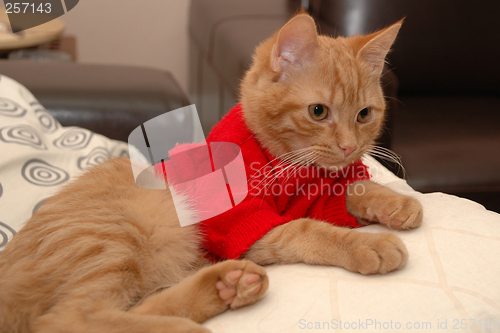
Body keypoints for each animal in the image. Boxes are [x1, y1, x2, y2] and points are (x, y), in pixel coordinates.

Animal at [0, 13, 422, 332]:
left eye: (364, 114)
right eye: (318, 111)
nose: (350, 147)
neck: (285, 164)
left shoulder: (316, 195)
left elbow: (351, 191)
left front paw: (396, 202)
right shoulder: (244, 222)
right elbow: (307, 230)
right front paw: (366, 244)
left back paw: (225, 287)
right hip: (124, 229)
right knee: (68, 318)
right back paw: (190, 326)